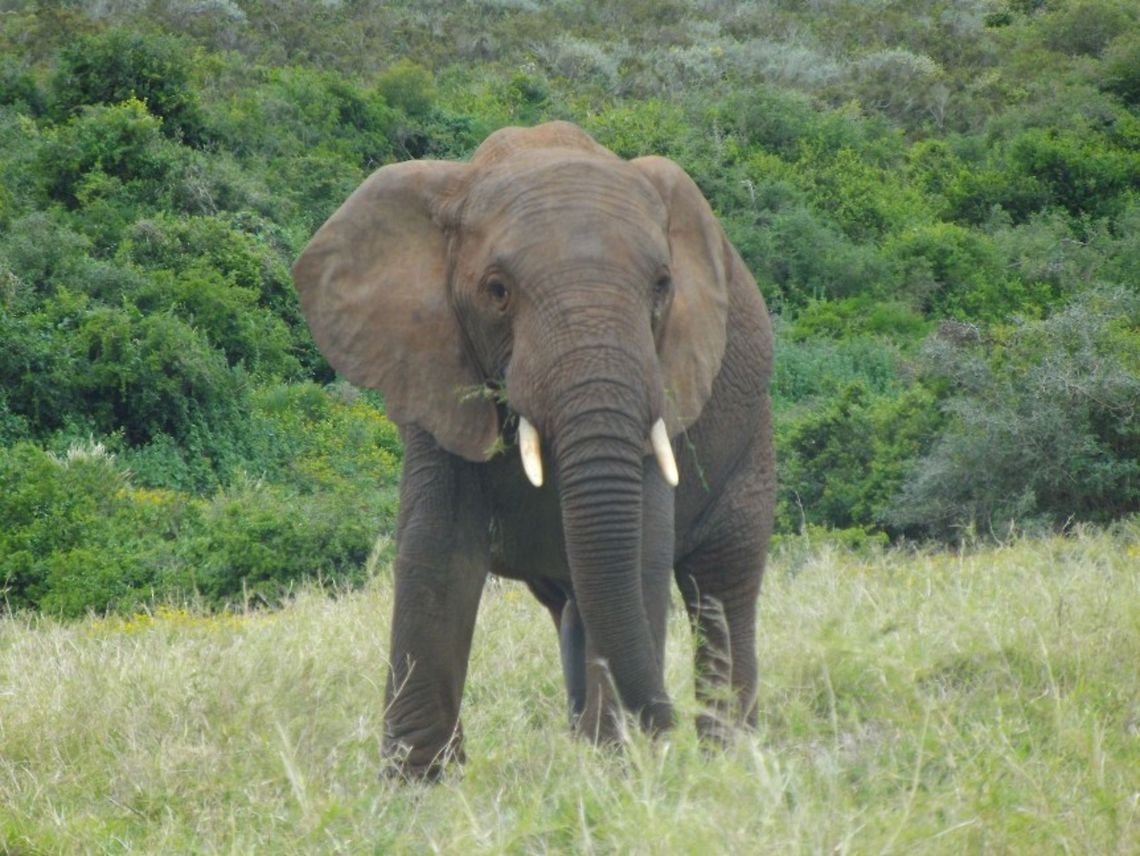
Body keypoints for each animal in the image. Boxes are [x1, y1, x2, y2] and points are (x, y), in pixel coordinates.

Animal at [292, 121, 775, 780]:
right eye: (497, 291)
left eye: (662, 287)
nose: (662, 726)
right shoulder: (433, 367)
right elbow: (435, 554)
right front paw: (419, 785)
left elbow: (641, 555)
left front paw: (614, 773)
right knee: (576, 603)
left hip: (752, 435)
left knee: (721, 588)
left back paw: (730, 761)